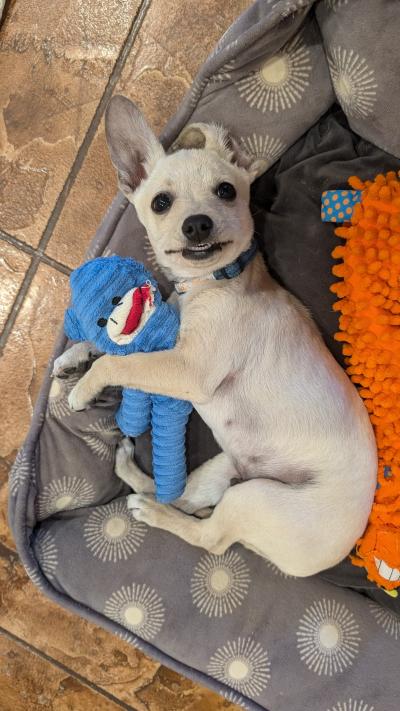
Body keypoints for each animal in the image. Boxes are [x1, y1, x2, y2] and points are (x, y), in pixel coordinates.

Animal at [54, 94, 376, 580]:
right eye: (161, 203)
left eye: (226, 191)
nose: (198, 225)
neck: (209, 283)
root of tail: (342, 551)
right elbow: (121, 347)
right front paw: (74, 357)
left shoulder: (189, 370)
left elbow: (121, 361)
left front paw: (86, 385)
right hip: (226, 468)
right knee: (182, 496)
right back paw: (136, 480)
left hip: (255, 498)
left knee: (206, 536)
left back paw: (151, 511)